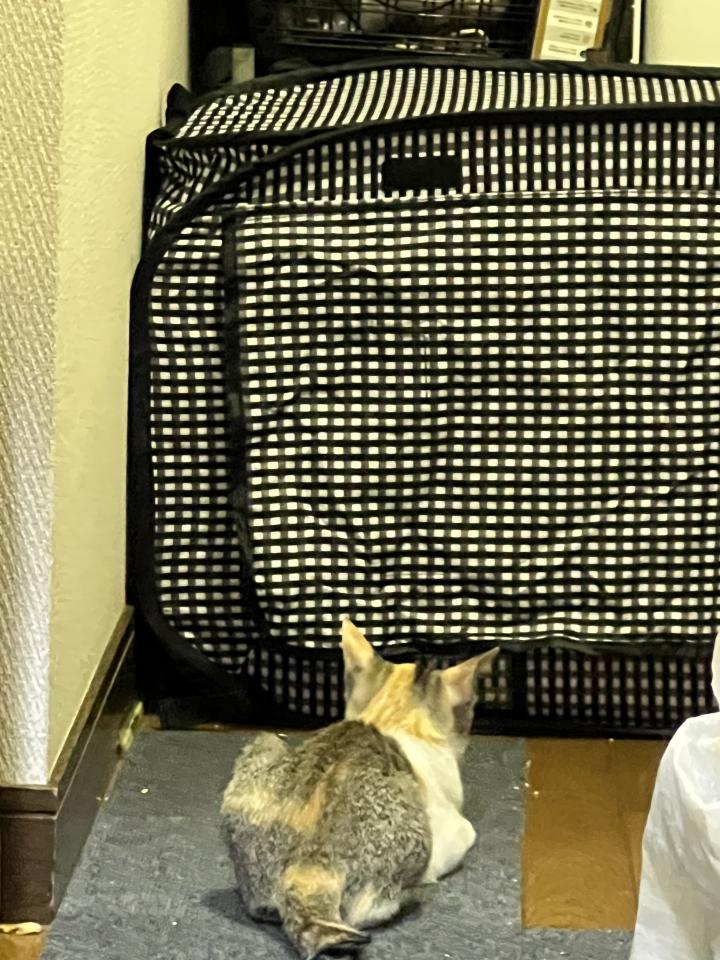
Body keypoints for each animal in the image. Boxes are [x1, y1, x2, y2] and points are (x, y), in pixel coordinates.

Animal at [221, 619, 499, 960]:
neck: (391, 718)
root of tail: (306, 869)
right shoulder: (453, 830)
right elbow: (469, 830)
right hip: (416, 846)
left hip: (265, 741)